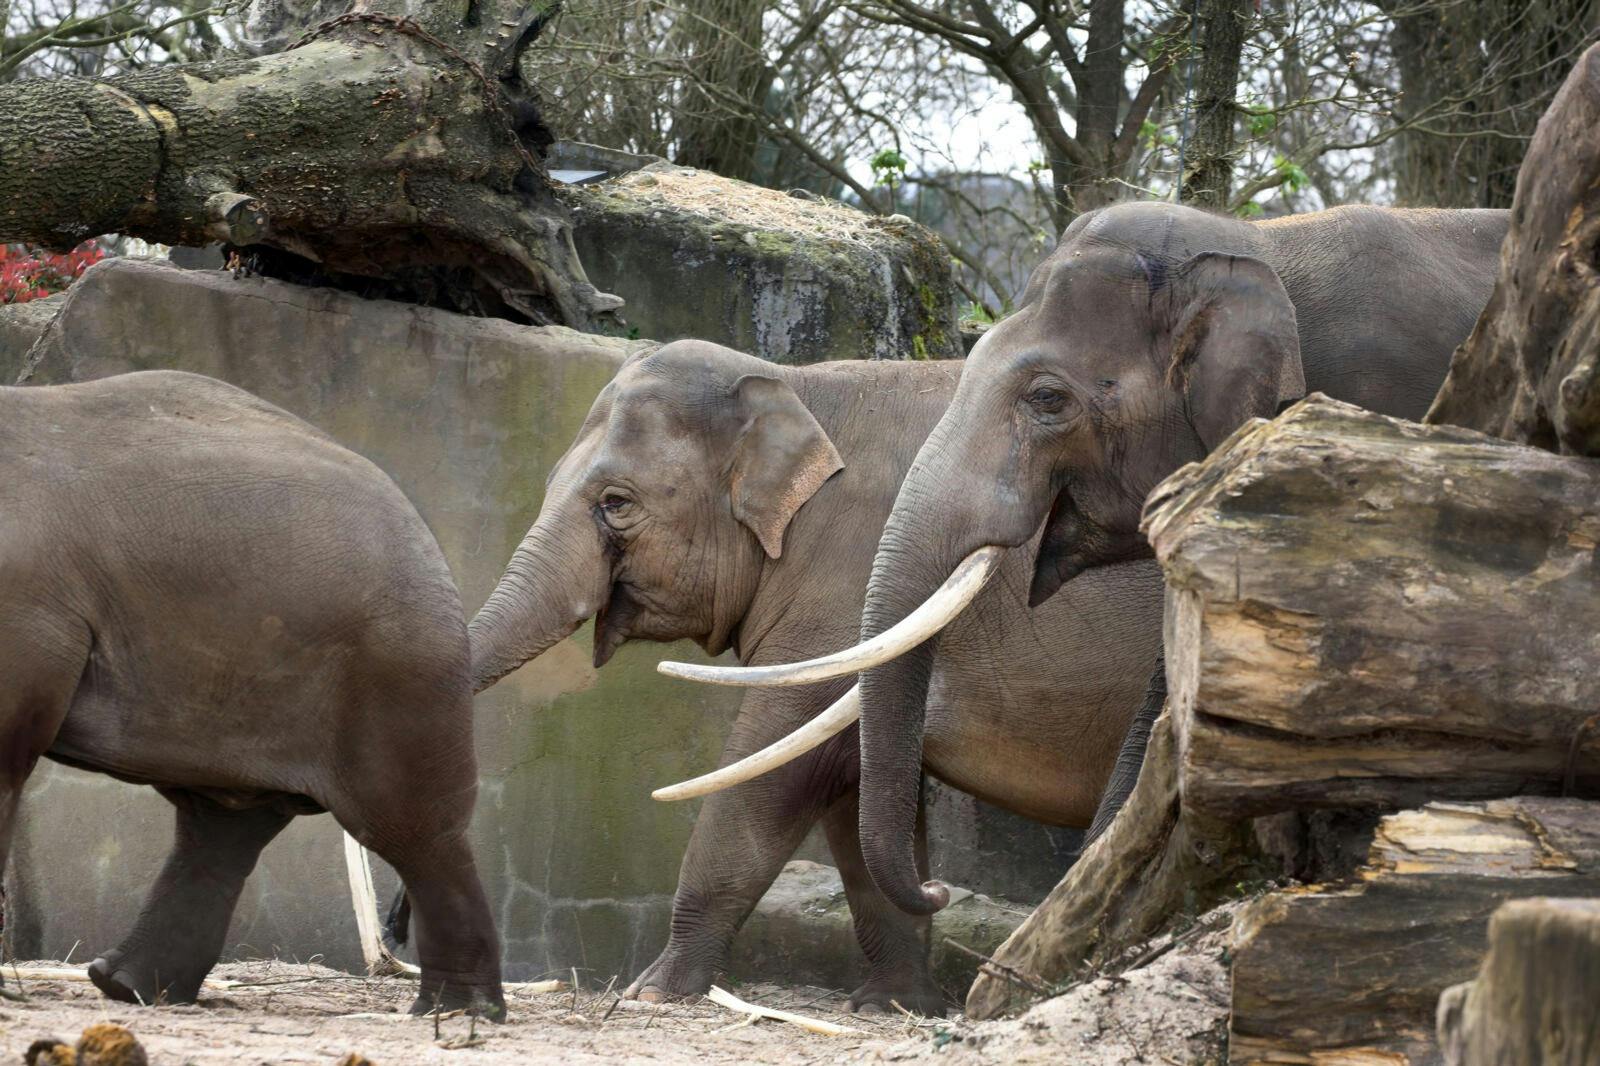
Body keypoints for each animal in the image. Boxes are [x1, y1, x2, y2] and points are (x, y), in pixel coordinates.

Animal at [0, 370, 503, 1017]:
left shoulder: (24, 606)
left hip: (396, 675)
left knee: (413, 829)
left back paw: (456, 1011)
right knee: (221, 825)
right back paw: (128, 986)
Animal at [462, 338, 1166, 1014]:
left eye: (615, 502)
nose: (940, 889)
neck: (796, 384)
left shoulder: (845, 577)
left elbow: (776, 761)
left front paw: (651, 994)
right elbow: (846, 786)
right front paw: (889, 1005)